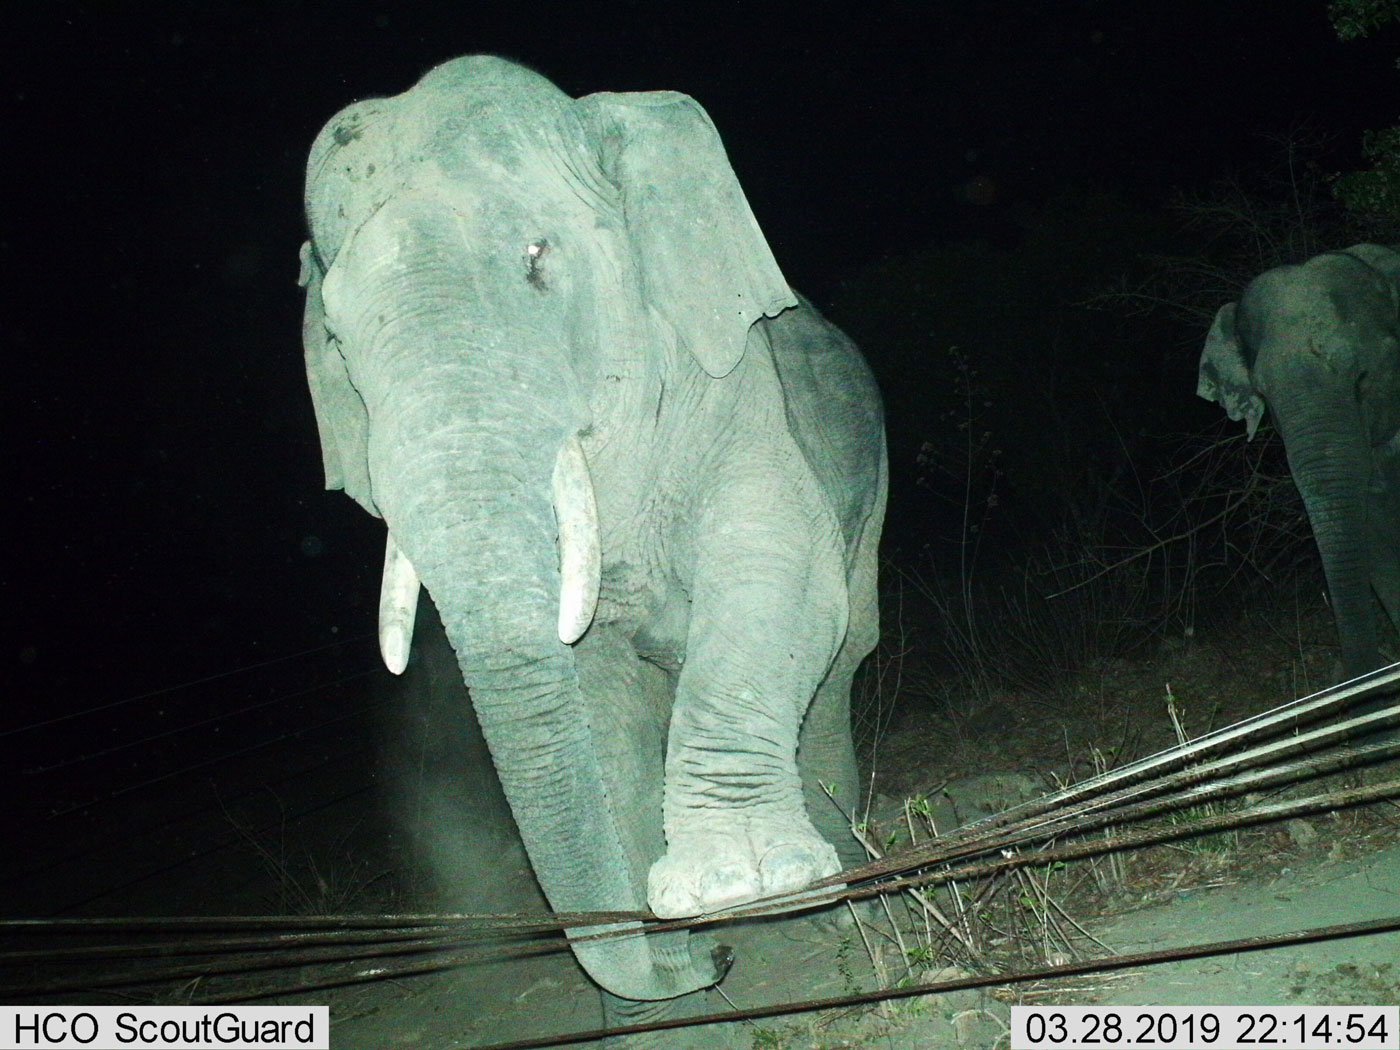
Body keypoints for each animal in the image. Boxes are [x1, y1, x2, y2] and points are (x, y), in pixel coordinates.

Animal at [295, 53, 884, 1024]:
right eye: (337, 338)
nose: (717, 958)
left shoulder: (735, 383)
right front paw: (671, 946)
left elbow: (780, 561)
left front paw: (735, 886)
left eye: (538, 257)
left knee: (843, 659)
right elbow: (590, 679)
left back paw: (838, 897)